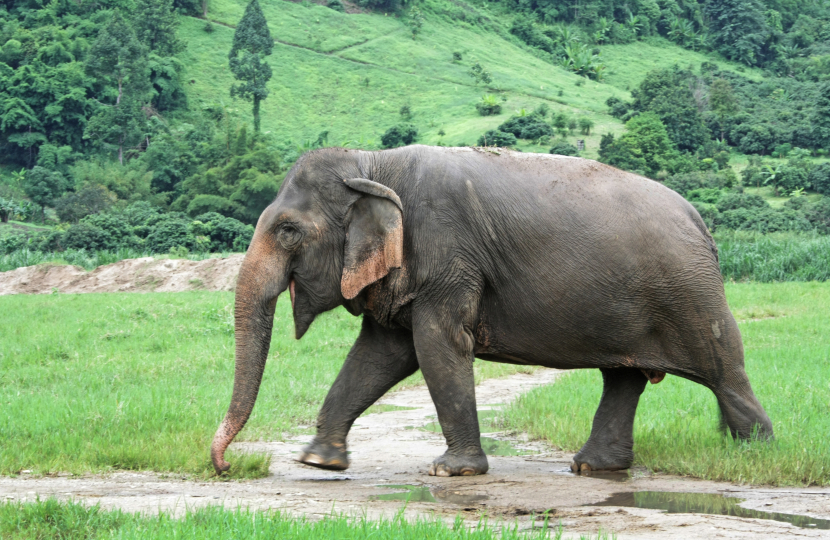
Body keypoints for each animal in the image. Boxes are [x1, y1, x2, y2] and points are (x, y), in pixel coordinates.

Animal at [210, 145, 773, 477]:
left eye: (287, 230)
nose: (224, 466)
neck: (374, 165)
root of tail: (703, 226)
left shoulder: (448, 255)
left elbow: (436, 346)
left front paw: (452, 471)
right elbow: (380, 353)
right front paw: (319, 461)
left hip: (691, 294)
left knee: (725, 371)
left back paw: (753, 454)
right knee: (623, 378)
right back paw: (594, 468)